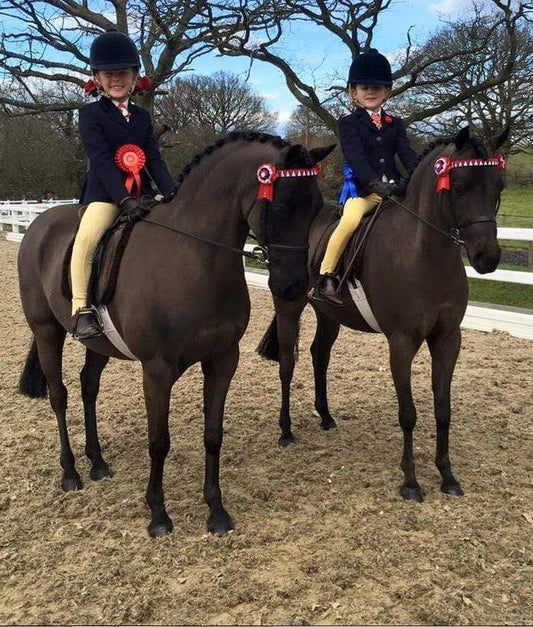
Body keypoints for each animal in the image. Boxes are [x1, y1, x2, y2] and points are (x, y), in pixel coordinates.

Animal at [18, 131, 334, 536]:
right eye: (279, 207)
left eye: (315, 208)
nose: (293, 287)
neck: (195, 257)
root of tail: (39, 225)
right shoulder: (157, 370)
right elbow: (159, 441)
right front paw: (158, 515)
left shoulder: (222, 361)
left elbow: (213, 434)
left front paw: (216, 511)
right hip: (46, 331)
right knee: (59, 395)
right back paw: (71, 472)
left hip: (98, 342)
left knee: (88, 385)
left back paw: (98, 462)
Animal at [258, 127, 508, 506]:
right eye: (460, 186)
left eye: (498, 186)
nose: (487, 258)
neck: (423, 254)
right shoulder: (401, 343)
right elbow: (408, 413)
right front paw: (411, 482)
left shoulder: (448, 339)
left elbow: (443, 410)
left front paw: (447, 476)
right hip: (289, 305)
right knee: (288, 363)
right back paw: (285, 431)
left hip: (329, 314)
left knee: (319, 355)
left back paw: (326, 416)